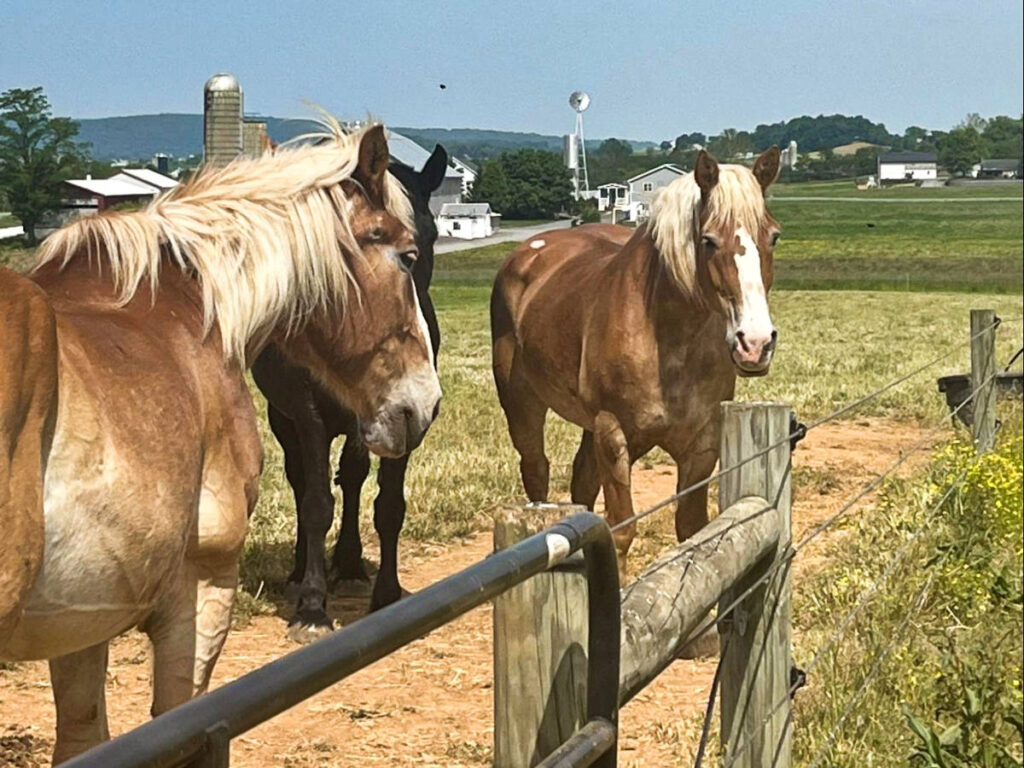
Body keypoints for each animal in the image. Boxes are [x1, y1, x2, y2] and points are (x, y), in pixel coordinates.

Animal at [251, 144, 448, 643]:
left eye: (432, 236)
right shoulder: (309, 417)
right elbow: (317, 503)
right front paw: (312, 608)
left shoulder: (401, 419)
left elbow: (388, 503)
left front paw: (387, 593)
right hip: (284, 421)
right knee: (301, 484)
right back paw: (301, 571)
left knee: (354, 479)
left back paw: (351, 564)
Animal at [491, 148, 781, 579]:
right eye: (708, 240)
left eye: (773, 236)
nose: (756, 344)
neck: (668, 338)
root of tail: (528, 252)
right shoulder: (613, 435)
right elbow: (622, 531)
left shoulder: (702, 445)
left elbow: (692, 530)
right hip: (522, 404)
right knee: (536, 472)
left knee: (581, 483)